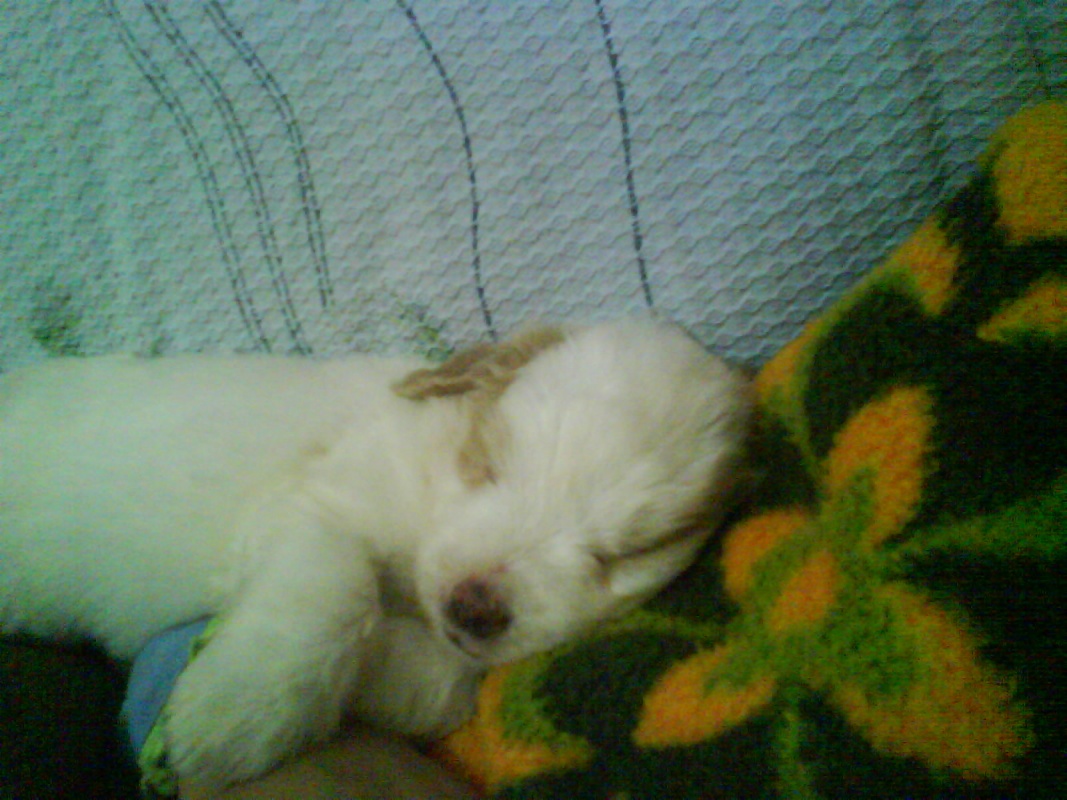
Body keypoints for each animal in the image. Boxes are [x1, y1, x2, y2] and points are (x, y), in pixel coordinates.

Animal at [0, 318, 751, 785]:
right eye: (487, 464)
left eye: (625, 553)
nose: (473, 608)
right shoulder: (318, 507)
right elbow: (337, 596)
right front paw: (235, 717)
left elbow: (442, 684)